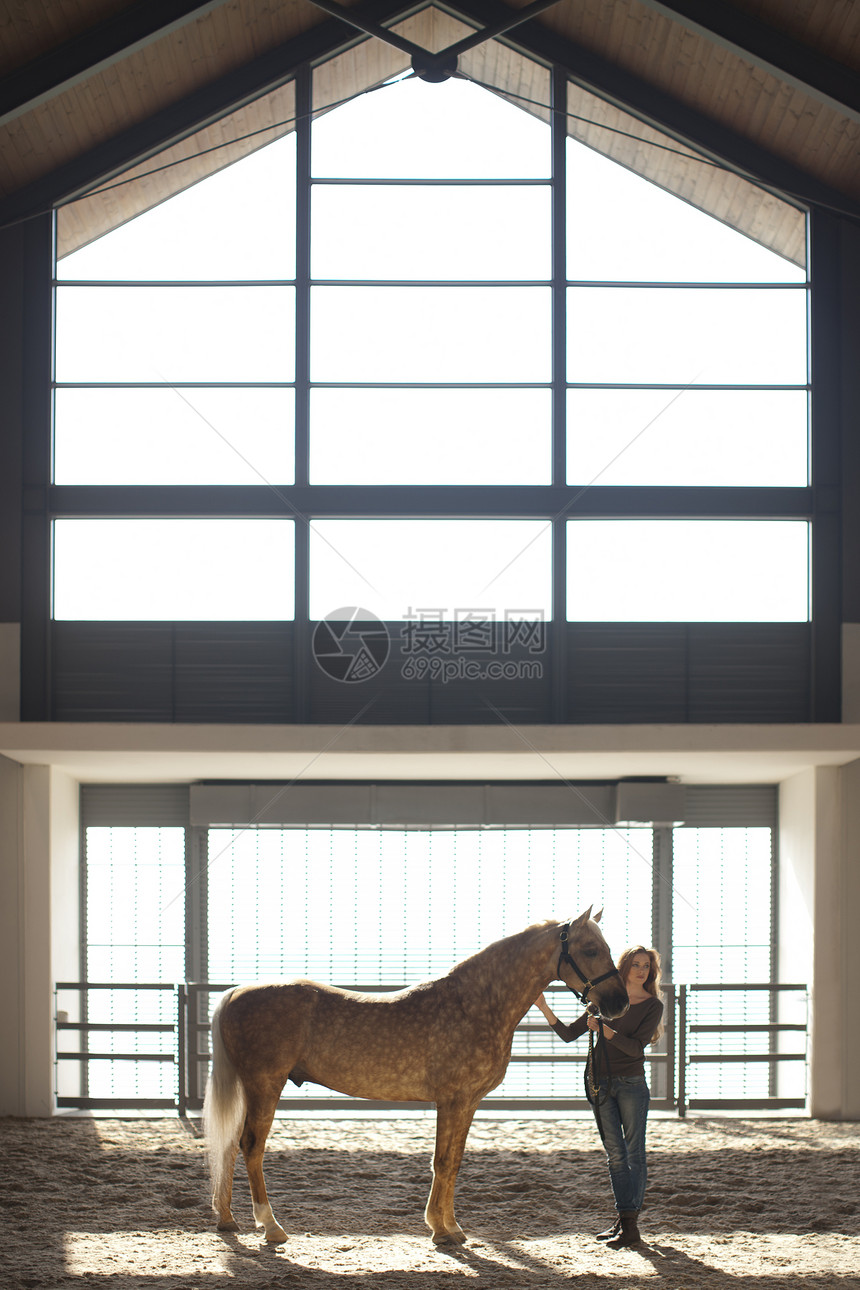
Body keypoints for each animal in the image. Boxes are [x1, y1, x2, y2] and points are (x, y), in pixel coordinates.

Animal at [205, 903, 629, 1243]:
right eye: (591, 949)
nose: (619, 1004)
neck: (475, 1004)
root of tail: (235, 992)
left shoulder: (468, 1103)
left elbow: (453, 1161)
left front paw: (449, 1227)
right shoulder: (452, 1101)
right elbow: (442, 1161)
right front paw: (442, 1232)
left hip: (250, 1089)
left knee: (229, 1145)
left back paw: (226, 1220)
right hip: (266, 1085)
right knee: (252, 1147)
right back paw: (271, 1226)